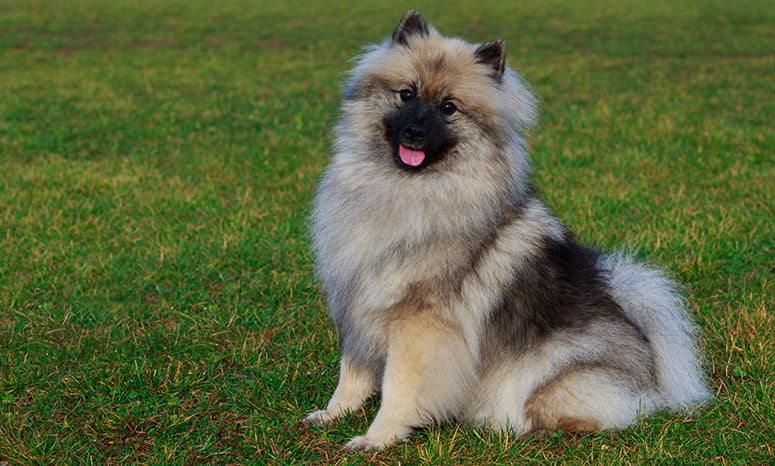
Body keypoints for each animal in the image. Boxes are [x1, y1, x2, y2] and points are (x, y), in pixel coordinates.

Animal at [304, 10, 708, 448]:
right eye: (406, 94)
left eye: (449, 107)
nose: (413, 132)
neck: (406, 189)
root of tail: (652, 370)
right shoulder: (358, 305)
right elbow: (352, 375)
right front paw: (334, 414)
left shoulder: (419, 325)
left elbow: (399, 387)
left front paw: (377, 438)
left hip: (551, 378)